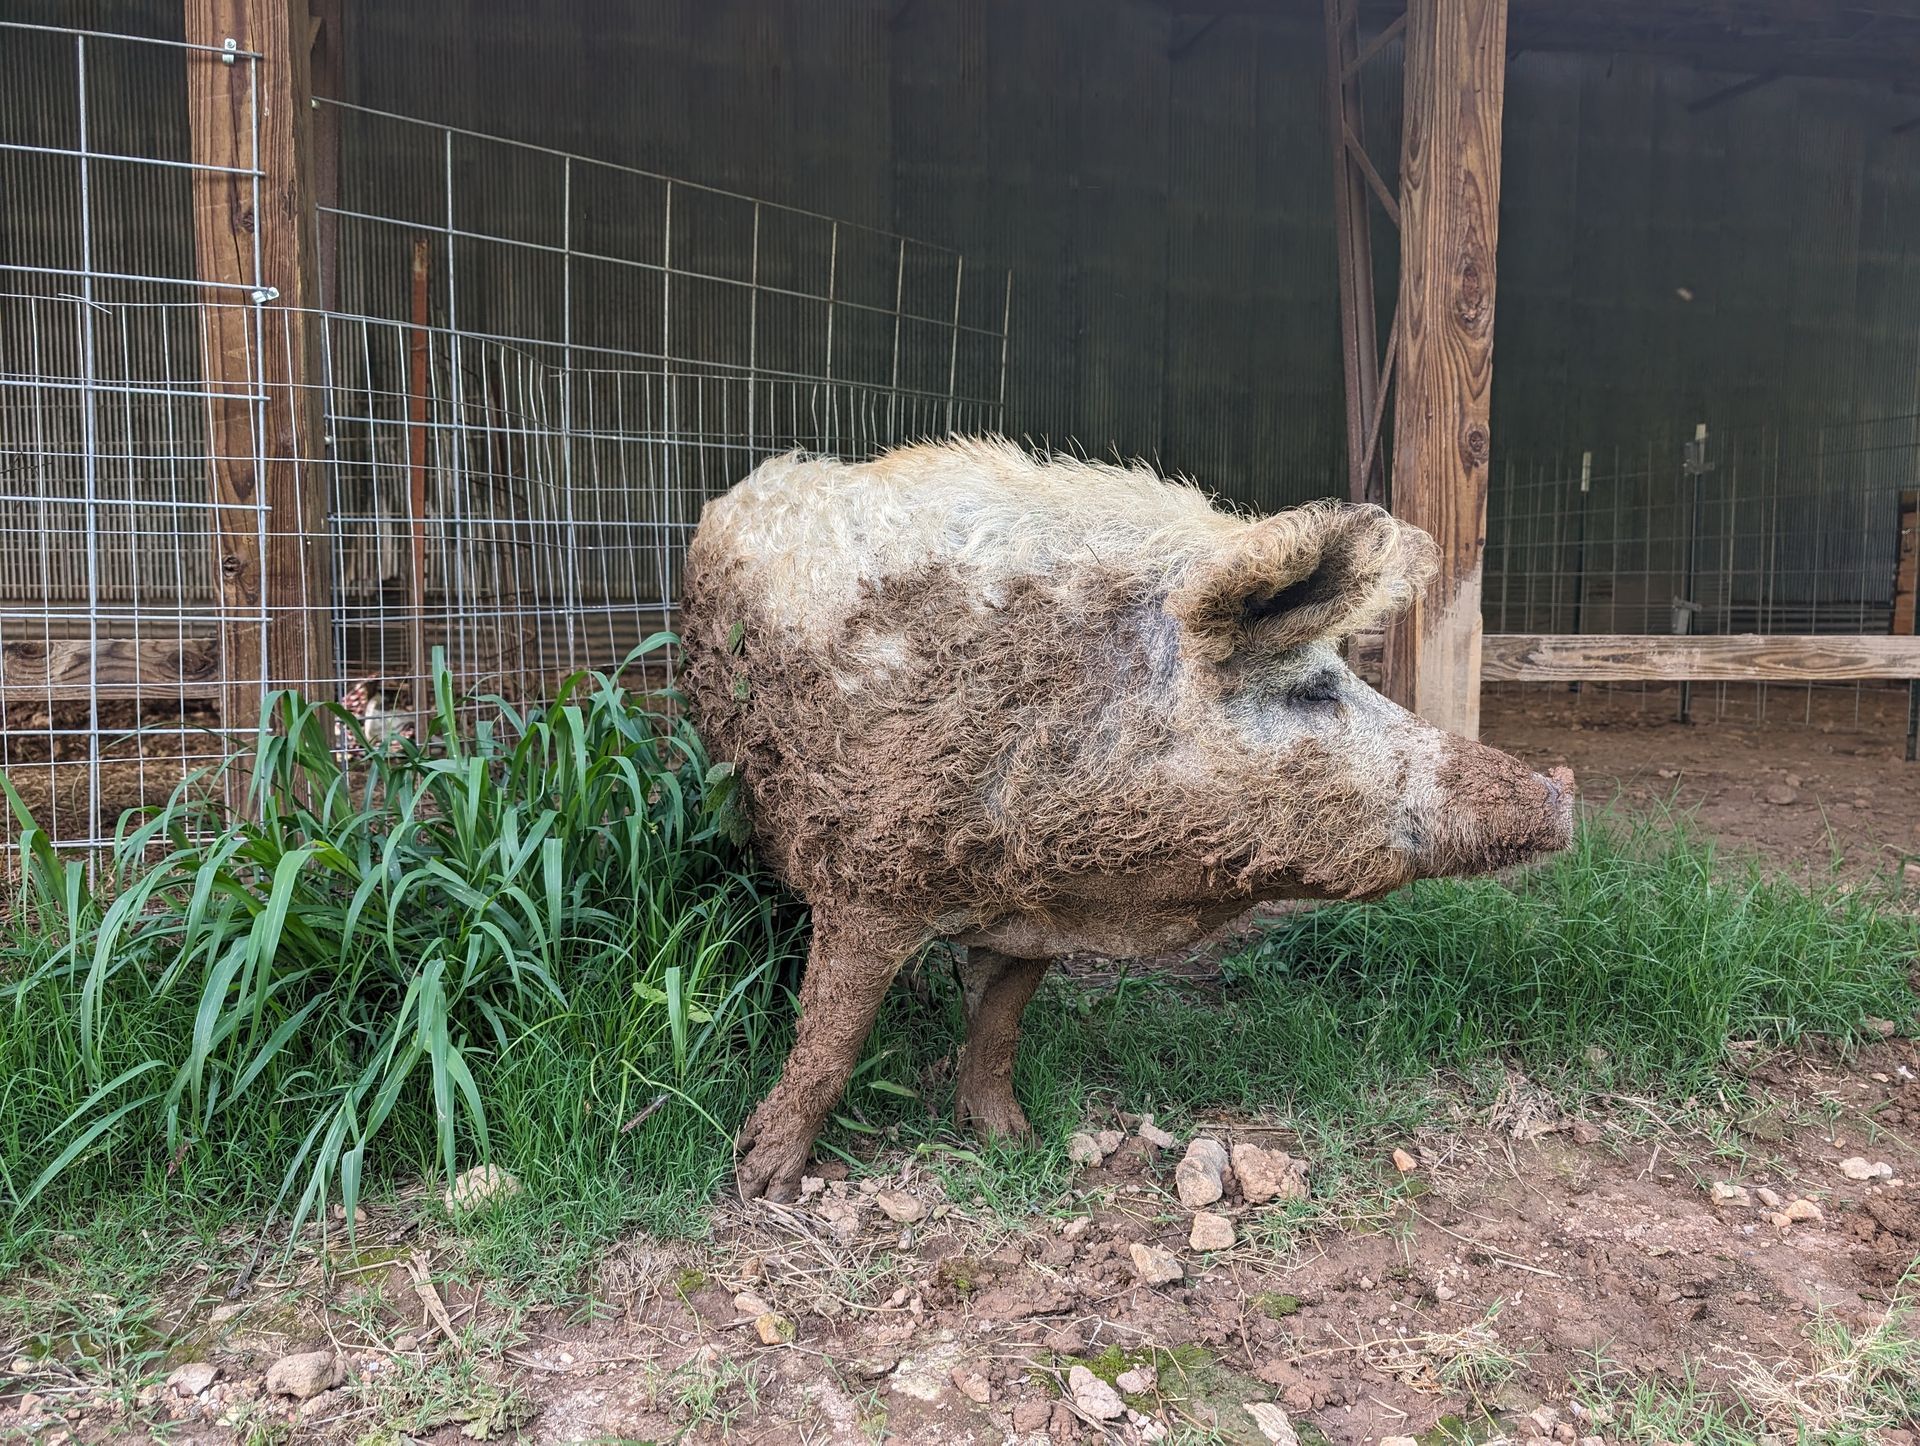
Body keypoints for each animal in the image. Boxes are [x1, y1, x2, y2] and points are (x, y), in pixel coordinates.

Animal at [681, 437, 1573, 1200]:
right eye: (1315, 691)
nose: (1561, 793)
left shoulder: (1034, 913)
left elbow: (999, 1025)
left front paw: (1012, 1142)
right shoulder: (870, 876)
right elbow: (832, 1035)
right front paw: (758, 1182)